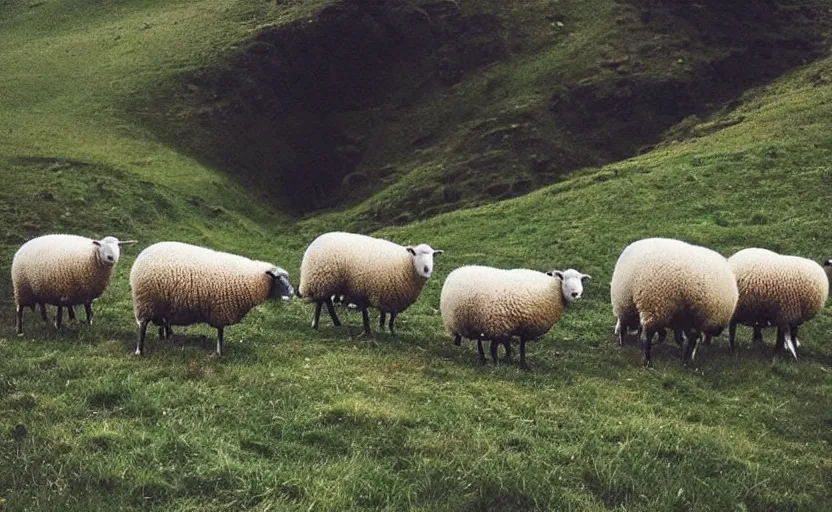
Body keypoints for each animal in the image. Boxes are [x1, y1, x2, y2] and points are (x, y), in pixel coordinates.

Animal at [125, 241, 290, 356]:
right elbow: (220, 334)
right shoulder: (221, 310)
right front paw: (219, 353)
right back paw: (139, 351)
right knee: (143, 326)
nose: (292, 294)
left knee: (163, 322)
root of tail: (143, 254)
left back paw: (166, 337)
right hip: (145, 302)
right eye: (279, 280)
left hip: (160, 303)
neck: (252, 279)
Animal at [300, 232, 442, 336]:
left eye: (433, 256)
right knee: (320, 302)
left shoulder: (390, 295)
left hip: (331, 283)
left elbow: (389, 316)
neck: (406, 263)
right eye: (414, 253)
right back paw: (315, 324)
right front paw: (369, 330)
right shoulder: (368, 288)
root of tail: (317, 239)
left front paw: (389, 331)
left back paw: (336, 322)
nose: (426, 269)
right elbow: (367, 312)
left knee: (327, 301)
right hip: (322, 281)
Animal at [438, 266, 588, 366]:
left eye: (581, 280)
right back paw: (489, 361)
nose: (576, 294)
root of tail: (455, 272)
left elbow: (518, 346)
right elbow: (501, 347)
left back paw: (484, 359)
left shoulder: (519, 326)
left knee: (479, 341)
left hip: (476, 321)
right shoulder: (500, 326)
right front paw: (504, 362)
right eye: (564, 279)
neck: (553, 289)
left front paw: (520, 363)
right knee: (482, 342)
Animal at [608, 238, 736, 366]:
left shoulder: (633, 306)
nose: (615, 332)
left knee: (650, 336)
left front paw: (622, 341)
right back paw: (685, 360)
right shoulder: (676, 318)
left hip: (658, 306)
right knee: (692, 337)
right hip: (691, 317)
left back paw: (649, 361)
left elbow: (627, 327)